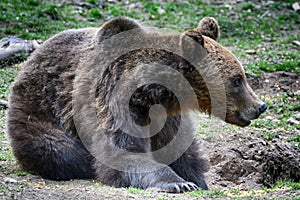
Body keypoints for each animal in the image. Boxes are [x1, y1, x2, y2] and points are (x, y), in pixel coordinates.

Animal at [7, 16, 266, 192]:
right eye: (237, 80)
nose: (260, 106)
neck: (151, 94)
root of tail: (32, 57)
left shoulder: (167, 115)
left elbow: (181, 150)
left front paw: (197, 180)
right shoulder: (114, 101)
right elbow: (123, 151)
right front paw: (178, 183)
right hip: (40, 107)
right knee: (57, 148)